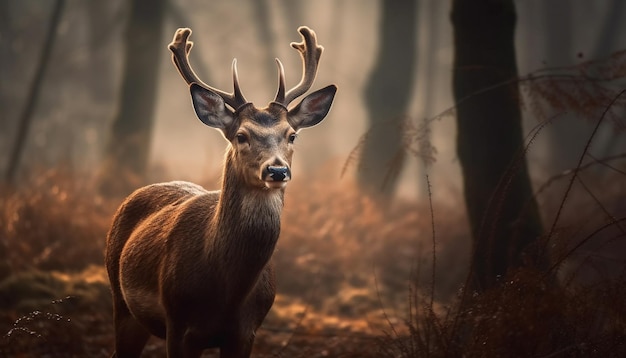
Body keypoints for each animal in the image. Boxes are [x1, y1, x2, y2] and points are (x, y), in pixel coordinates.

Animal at [103, 25, 336, 358]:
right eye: (241, 135)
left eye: (292, 135)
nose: (277, 171)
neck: (228, 293)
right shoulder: (178, 324)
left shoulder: (246, 331)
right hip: (120, 298)